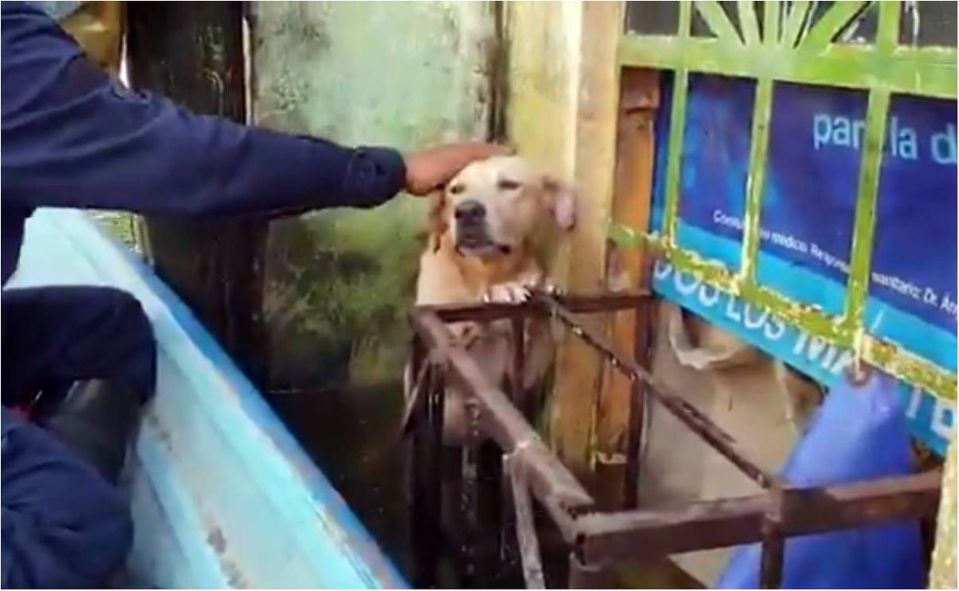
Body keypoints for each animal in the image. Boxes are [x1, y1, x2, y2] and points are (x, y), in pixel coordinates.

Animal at [400, 157, 572, 444]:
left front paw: (538, 284)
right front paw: (502, 291)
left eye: (510, 184)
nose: (467, 211)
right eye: (456, 190)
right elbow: (461, 332)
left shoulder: (523, 373)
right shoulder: (438, 363)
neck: (486, 272)